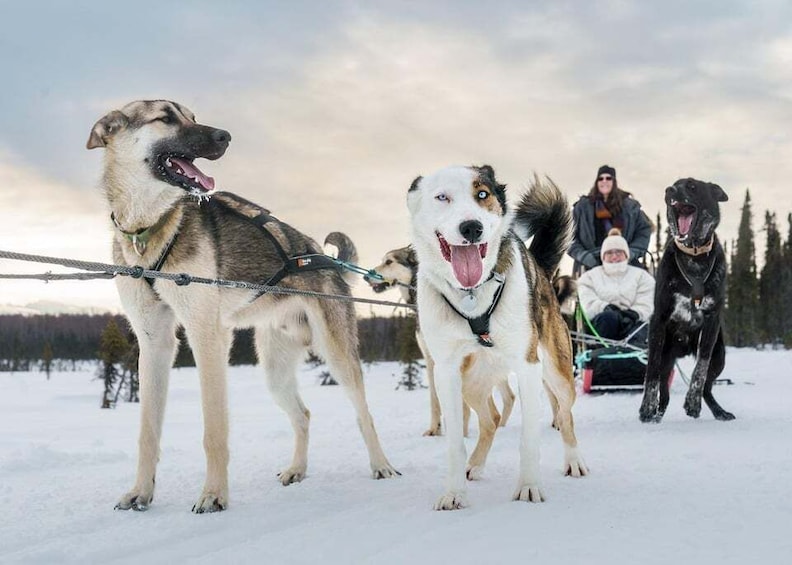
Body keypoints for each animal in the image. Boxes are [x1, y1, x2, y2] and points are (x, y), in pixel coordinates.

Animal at [408, 165, 588, 508]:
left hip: (557, 374)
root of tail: (542, 272)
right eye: (442, 197)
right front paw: (453, 493)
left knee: (566, 414)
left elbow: (529, 438)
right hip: (470, 383)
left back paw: (574, 461)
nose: (472, 228)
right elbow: (454, 442)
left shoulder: (528, 367)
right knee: (490, 419)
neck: (472, 295)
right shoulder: (446, 371)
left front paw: (528, 486)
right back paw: (475, 465)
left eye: (482, 194)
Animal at [640, 178, 732, 420]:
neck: (694, 256)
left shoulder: (711, 321)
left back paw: (718, 411)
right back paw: (657, 413)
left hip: (720, 357)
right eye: (673, 184)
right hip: (667, 355)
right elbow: (651, 371)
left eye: (692, 186)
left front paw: (692, 401)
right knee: (663, 385)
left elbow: (700, 368)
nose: (668, 191)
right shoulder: (659, 320)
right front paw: (647, 407)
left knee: (707, 386)